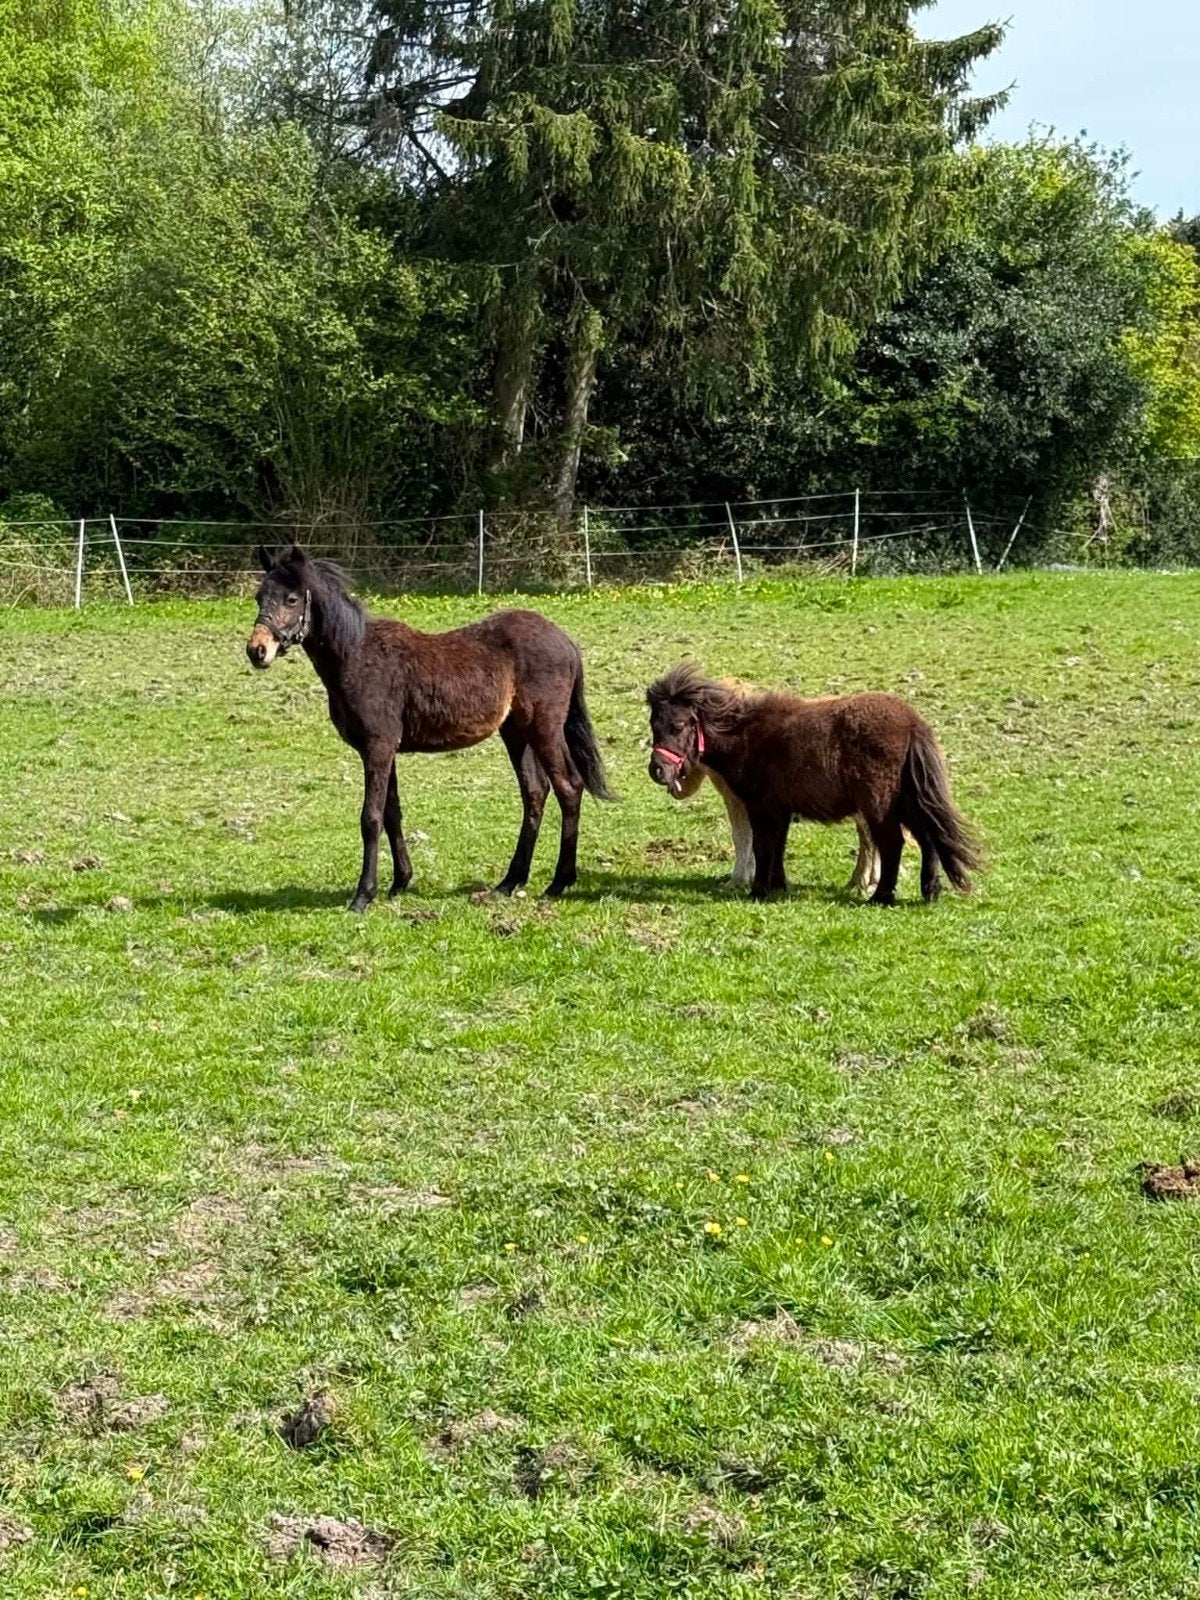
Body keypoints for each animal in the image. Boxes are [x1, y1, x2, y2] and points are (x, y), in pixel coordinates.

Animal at [246, 544, 613, 909]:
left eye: (292, 599)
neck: (357, 657)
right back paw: (510, 882)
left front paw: (363, 895)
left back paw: (558, 883)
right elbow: (392, 813)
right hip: (515, 733)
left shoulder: (378, 747)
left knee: (569, 788)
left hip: (545, 728)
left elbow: (371, 818)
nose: (257, 651)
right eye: (259, 597)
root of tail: (565, 641)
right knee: (535, 792)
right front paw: (399, 883)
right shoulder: (383, 750)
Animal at [647, 663, 979, 903]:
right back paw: (929, 891)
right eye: (653, 724)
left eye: (678, 725)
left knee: (892, 842)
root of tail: (912, 723)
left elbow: (761, 846)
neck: (748, 736)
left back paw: (880, 896)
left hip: (880, 804)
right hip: (905, 801)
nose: (657, 771)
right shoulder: (779, 811)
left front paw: (757, 891)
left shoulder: (760, 809)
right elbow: (778, 848)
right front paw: (778, 887)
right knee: (926, 838)